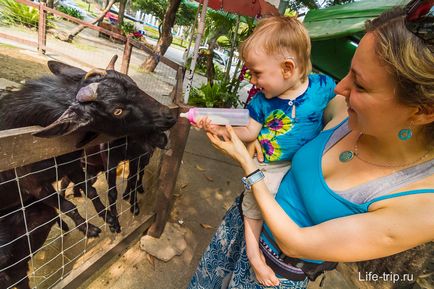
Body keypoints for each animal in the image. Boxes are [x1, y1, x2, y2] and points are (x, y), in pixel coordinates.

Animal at [0, 55, 177, 234]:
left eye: (132, 83)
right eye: (117, 111)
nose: (169, 115)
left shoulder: (72, 166)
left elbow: (91, 190)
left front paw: (110, 218)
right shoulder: (34, 185)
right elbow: (68, 206)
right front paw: (90, 229)